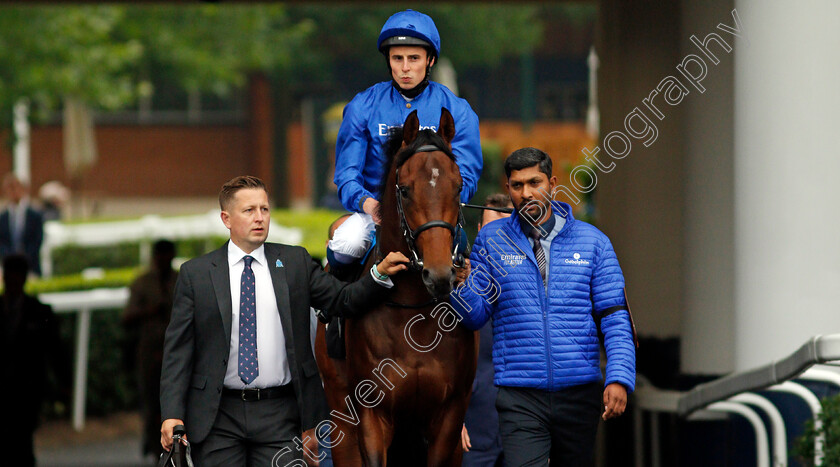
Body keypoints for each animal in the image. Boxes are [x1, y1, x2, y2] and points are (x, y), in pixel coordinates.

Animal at [316, 109, 476, 467]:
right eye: (404, 190)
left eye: (458, 186)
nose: (439, 275)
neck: (412, 314)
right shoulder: (371, 414)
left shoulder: (450, 413)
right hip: (339, 413)